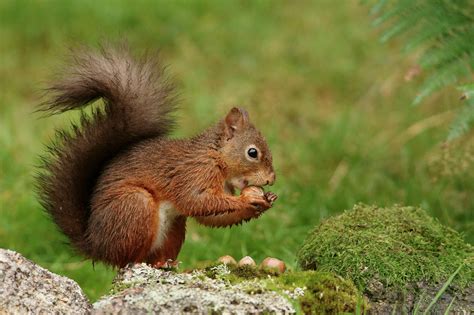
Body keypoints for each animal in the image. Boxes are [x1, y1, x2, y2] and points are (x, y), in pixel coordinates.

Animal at [38, 46, 278, 270]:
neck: (215, 156)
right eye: (252, 152)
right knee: (127, 259)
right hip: (135, 207)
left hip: (174, 226)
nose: (271, 179)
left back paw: (165, 263)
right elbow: (195, 200)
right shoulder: (193, 173)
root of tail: (96, 246)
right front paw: (247, 200)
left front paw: (266, 200)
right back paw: (138, 263)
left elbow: (211, 217)